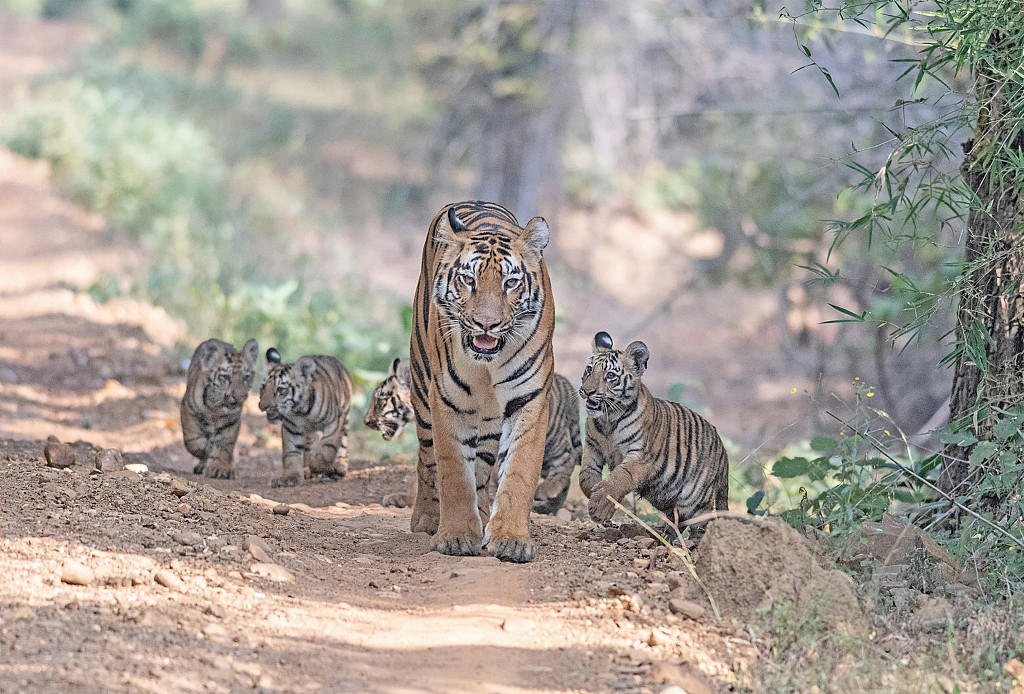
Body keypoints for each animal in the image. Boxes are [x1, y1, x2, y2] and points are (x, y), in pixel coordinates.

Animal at [182, 337, 258, 481]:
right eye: (226, 377)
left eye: (246, 377)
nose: (239, 396)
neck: (215, 408)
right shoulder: (188, 409)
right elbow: (193, 440)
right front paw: (205, 450)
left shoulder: (232, 421)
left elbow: (224, 445)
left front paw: (220, 469)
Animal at [260, 348, 352, 489]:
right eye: (263, 387)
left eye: (280, 389)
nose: (262, 406)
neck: (301, 411)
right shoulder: (291, 427)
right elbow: (291, 452)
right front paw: (290, 478)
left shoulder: (335, 421)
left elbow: (328, 449)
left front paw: (318, 466)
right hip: (310, 432)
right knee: (308, 447)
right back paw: (306, 468)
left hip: (345, 417)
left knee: (343, 445)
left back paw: (339, 467)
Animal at [409, 201, 557, 565]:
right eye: (468, 280)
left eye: (510, 282)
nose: (486, 324)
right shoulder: (447, 400)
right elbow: (453, 473)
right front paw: (456, 537)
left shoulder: (530, 399)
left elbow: (519, 472)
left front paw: (510, 539)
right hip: (420, 387)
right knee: (427, 457)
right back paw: (427, 519)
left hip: (490, 420)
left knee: (483, 465)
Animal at [581, 333, 733, 544]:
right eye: (589, 369)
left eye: (610, 376)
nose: (587, 391)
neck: (607, 419)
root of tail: (723, 451)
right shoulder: (592, 445)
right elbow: (585, 475)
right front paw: (592, 491)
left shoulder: (639, 456)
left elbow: (619, 477)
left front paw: (600, 507)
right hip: (664, 495)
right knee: (677, 518)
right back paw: (663, 537)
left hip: (694, 498)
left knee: (702, 522)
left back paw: (691, 545)